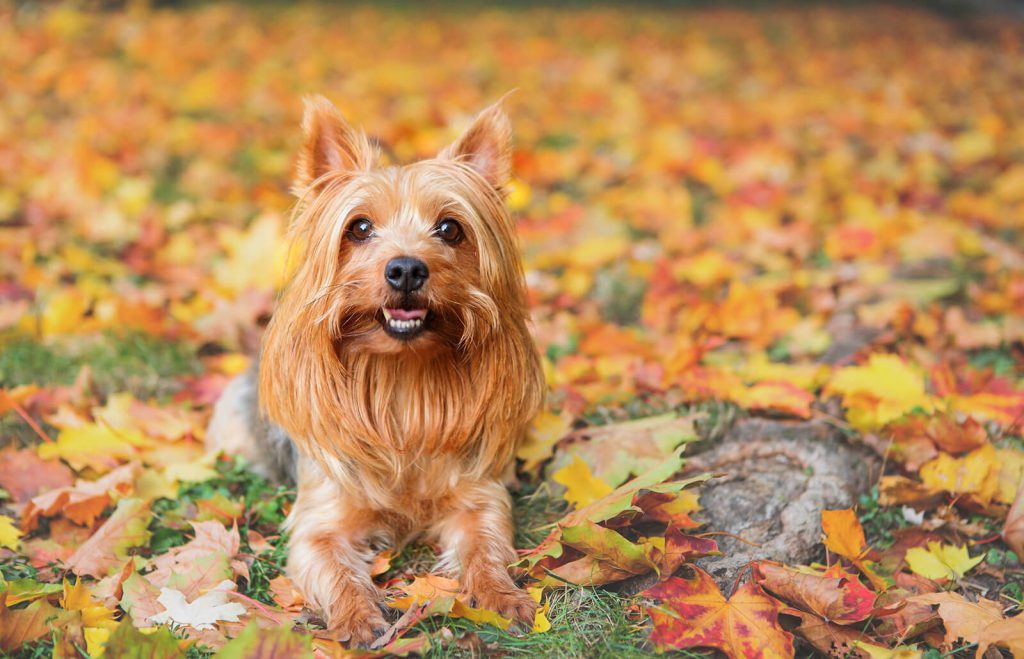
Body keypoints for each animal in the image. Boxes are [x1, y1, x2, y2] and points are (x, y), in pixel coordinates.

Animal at [203, 96, 548, 642]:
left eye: (450, 228)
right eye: (359, 228)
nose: (406, 268)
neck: (400, 379)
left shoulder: (478, 497)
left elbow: (486, 546)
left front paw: (503, 596)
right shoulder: (320, 521)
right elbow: (333, 567)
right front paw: (358, 617)